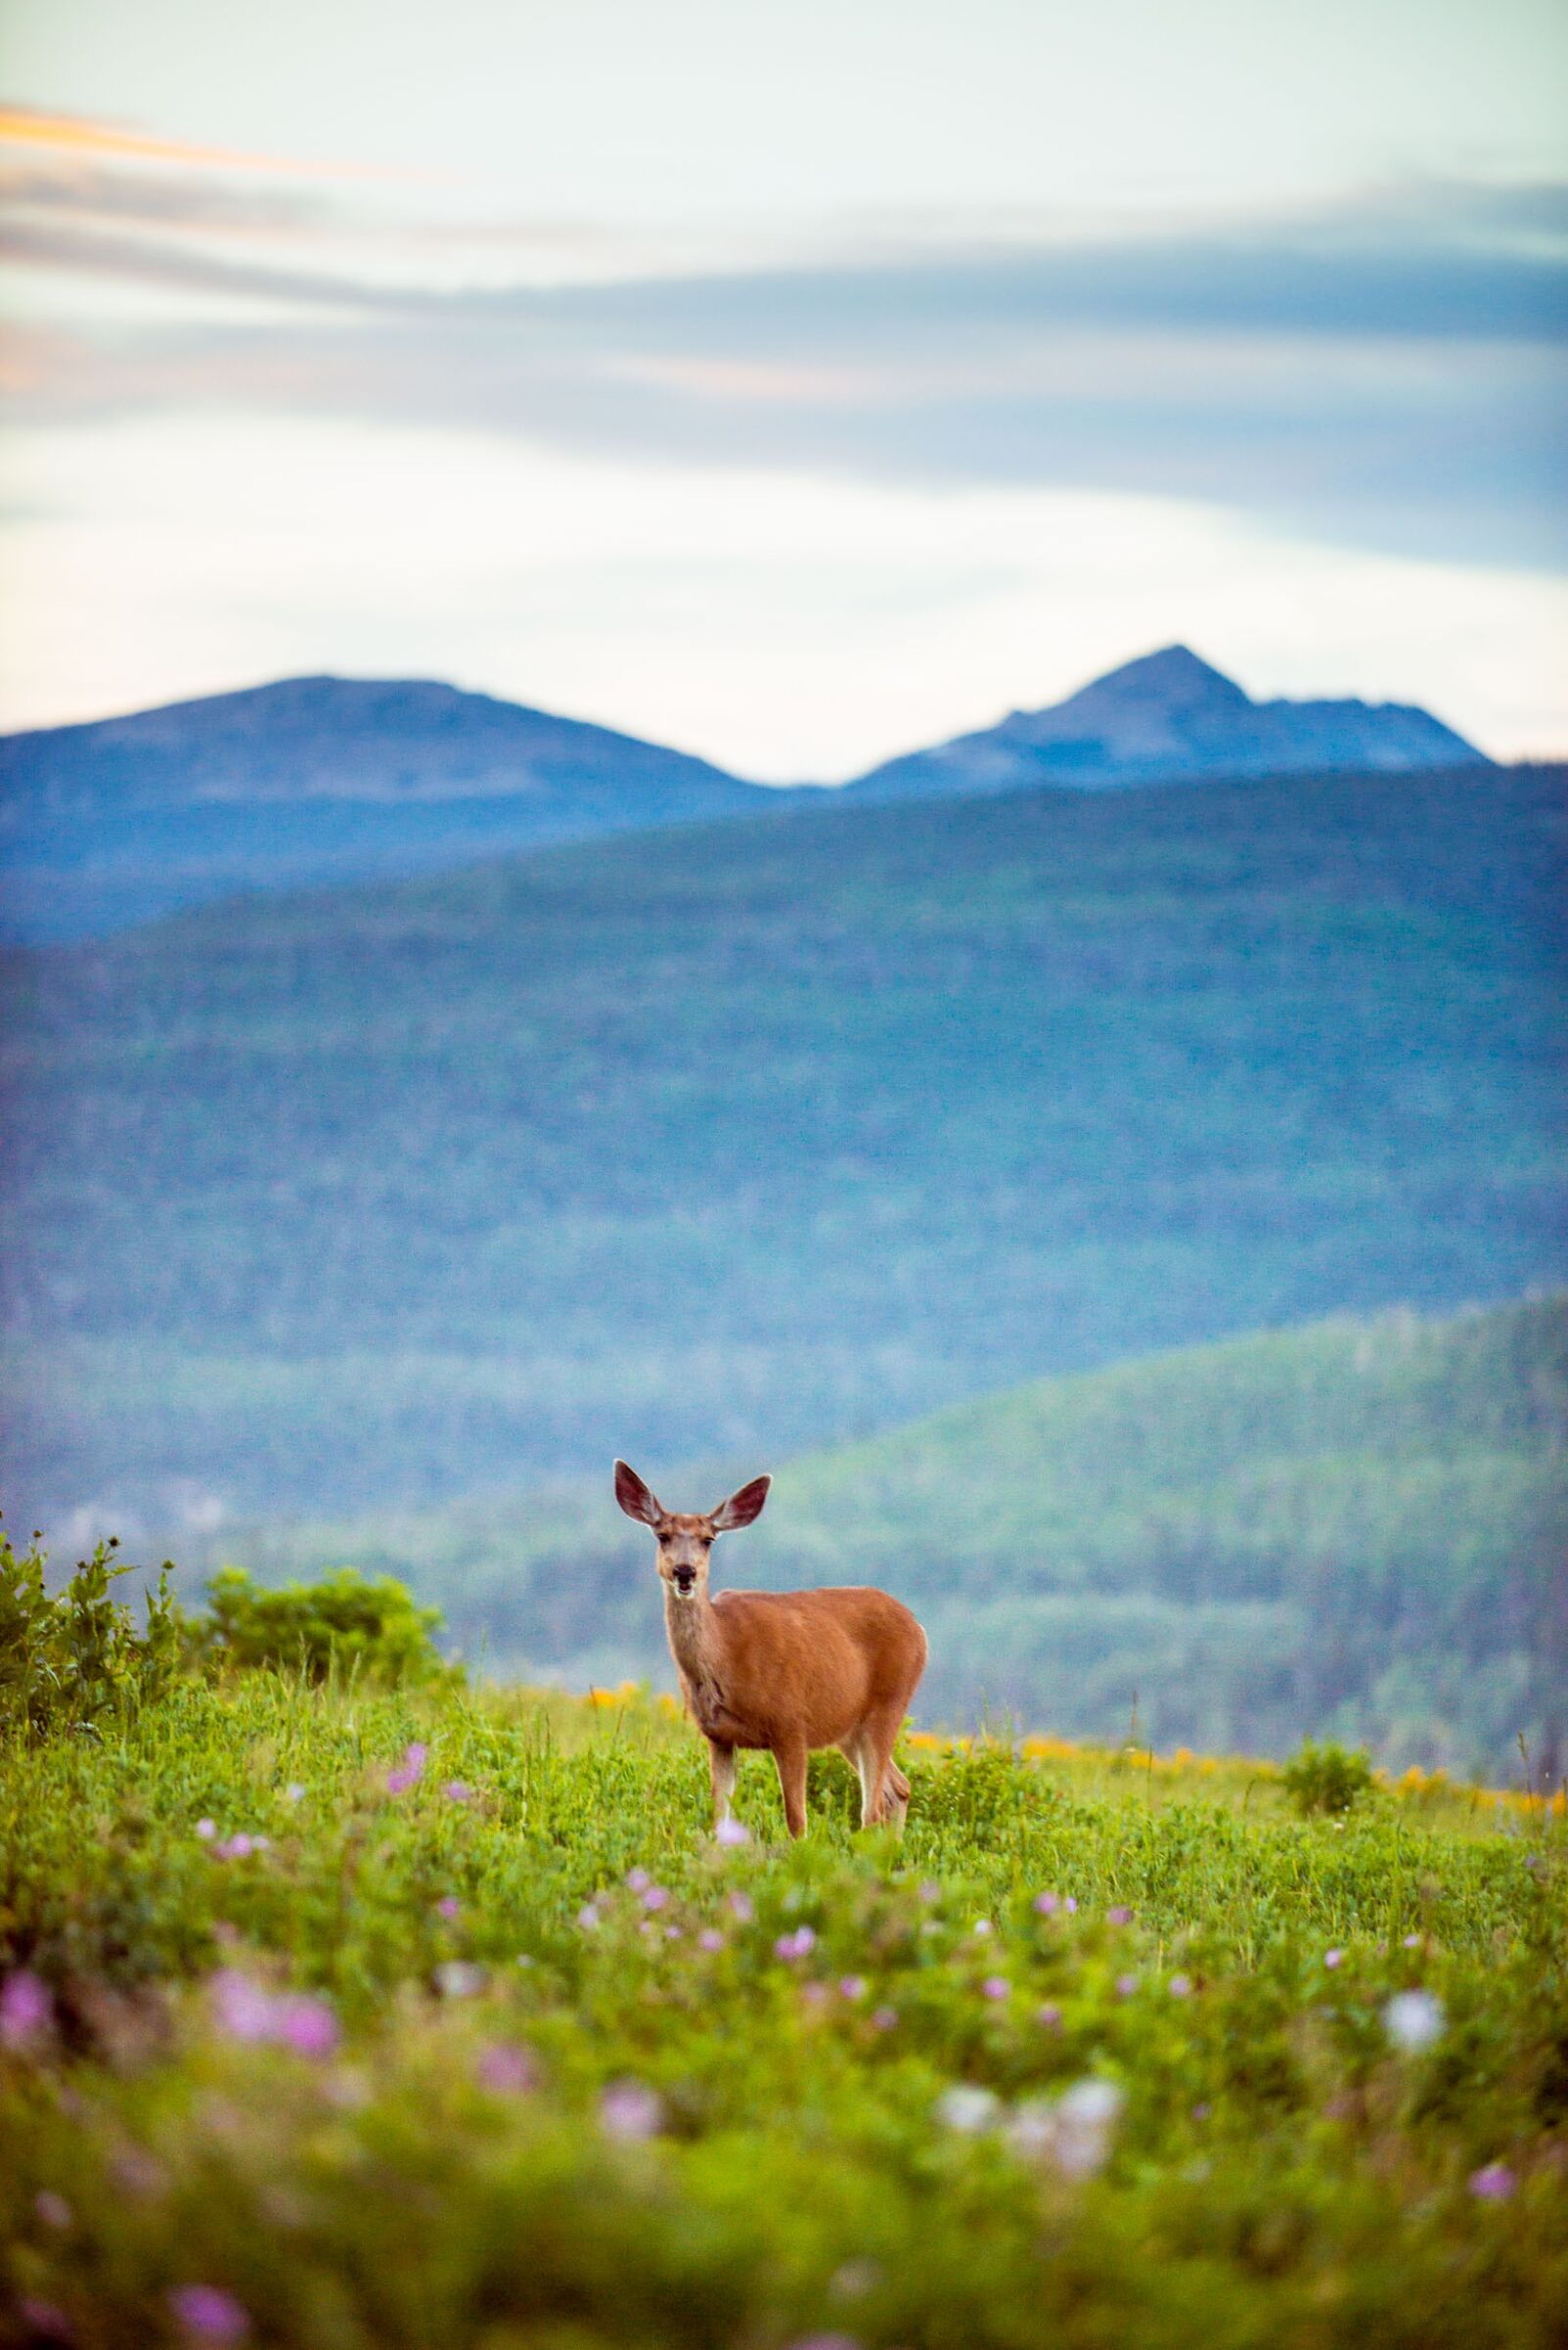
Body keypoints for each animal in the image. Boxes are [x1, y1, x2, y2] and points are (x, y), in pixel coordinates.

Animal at [614, 1460, 928, 1840]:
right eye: (662, 1535)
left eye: (708, 1539)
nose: (684, 1571)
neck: (726, 1655)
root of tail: (918, 1627)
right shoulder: (717, 1736)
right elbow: (719, 1817)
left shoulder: (791, 1723)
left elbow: (796, 1821)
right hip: (849, 1726)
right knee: (898, 1789)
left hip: (889, 1702)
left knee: (872, 1807)